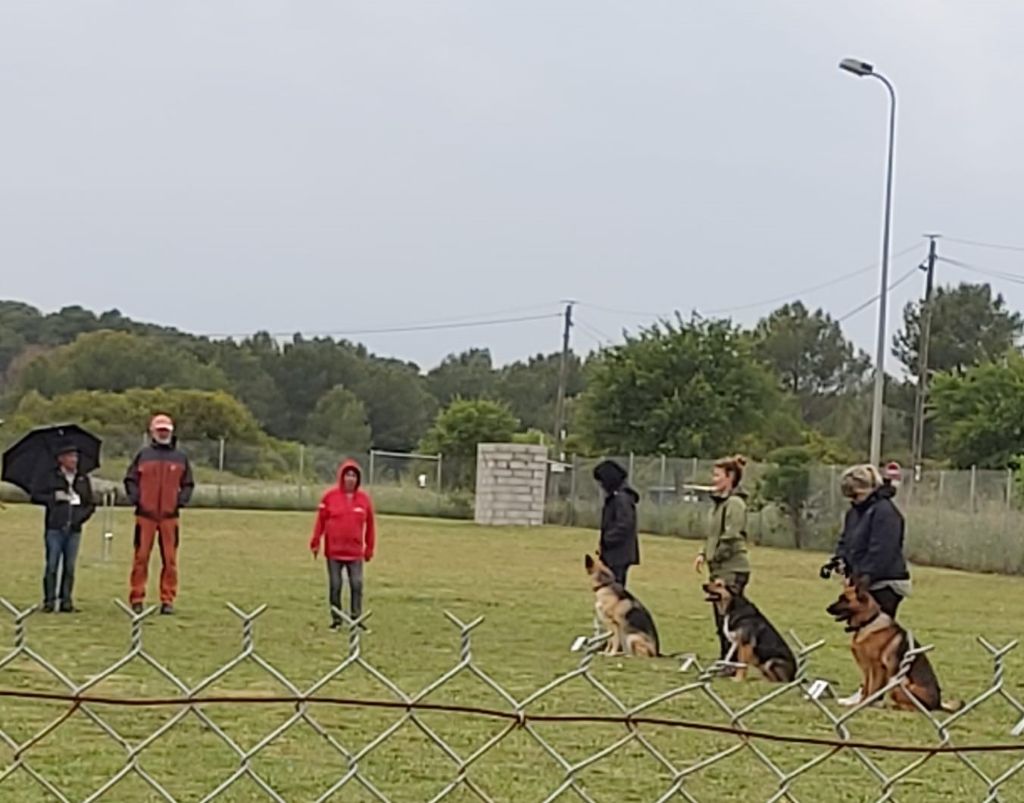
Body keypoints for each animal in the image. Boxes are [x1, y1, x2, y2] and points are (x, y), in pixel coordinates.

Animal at [823, 577, 958, 716]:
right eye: (840, 598)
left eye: (845, 599)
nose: (827, 608)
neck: (869, 621)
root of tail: (938, 704)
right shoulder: (867, 669)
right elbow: (866, 687)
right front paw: (860, 702)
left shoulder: (877, 668)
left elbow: (872, 689)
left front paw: (864, 704)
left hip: (899, 684)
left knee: (917, 708)